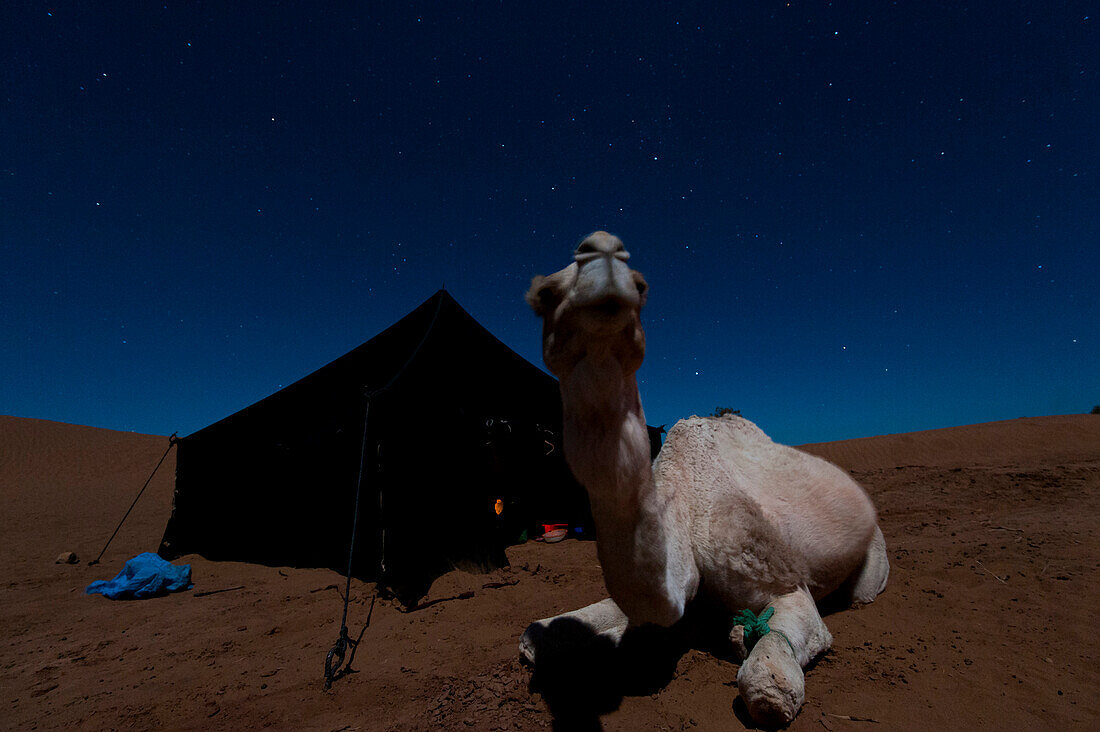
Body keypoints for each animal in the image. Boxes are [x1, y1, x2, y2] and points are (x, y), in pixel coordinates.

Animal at [519, 231, 888, 722]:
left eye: (642, 285)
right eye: (543, 295)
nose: (602, 257)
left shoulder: (782, 580)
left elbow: (767, 682)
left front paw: (767, 684)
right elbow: (543, 633)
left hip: (872, 561)